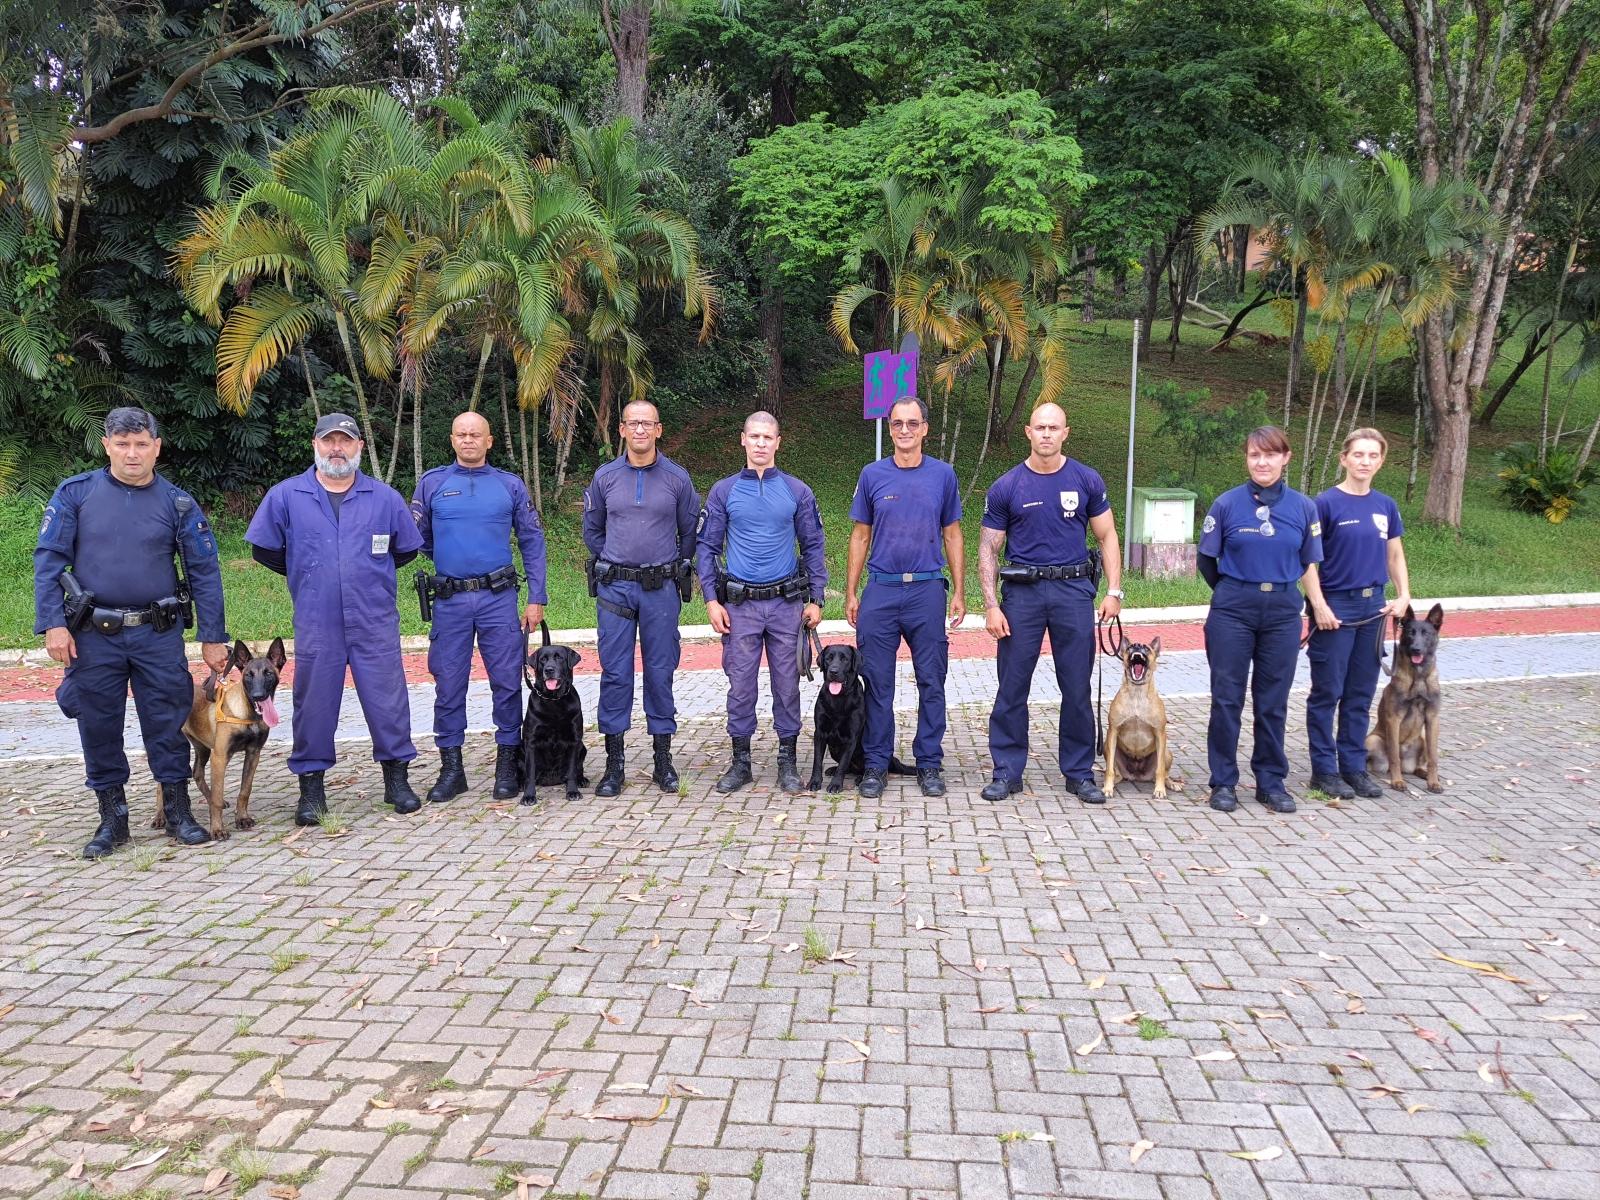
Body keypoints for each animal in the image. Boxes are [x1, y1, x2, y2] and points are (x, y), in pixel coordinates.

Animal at [154, 640, 286, 844]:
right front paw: (217, 829)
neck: (248, 714)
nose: (258, 695)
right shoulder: (220, 756)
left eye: (268, 673)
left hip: (203, 749)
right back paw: (160, 816)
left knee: (197, 773)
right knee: (162, 783)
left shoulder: (253, 753)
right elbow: (217, 795)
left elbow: (244, 790)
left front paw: (242, 818)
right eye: (248, 675)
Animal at [1107, 640, 1184, 800]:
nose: (1137, 645)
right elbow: (1109, 769)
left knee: (1164, 773)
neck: (1137, 694)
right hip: (1107, 747)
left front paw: (1160, 790)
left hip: (1167, 753)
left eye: (1147, 648)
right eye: (1130, 647)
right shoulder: (1113, 731)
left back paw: (1172, 783)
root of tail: (1137, 775)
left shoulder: (1160, 733)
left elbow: (1160, 770)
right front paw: (1107, 788)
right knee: (1116, 772)